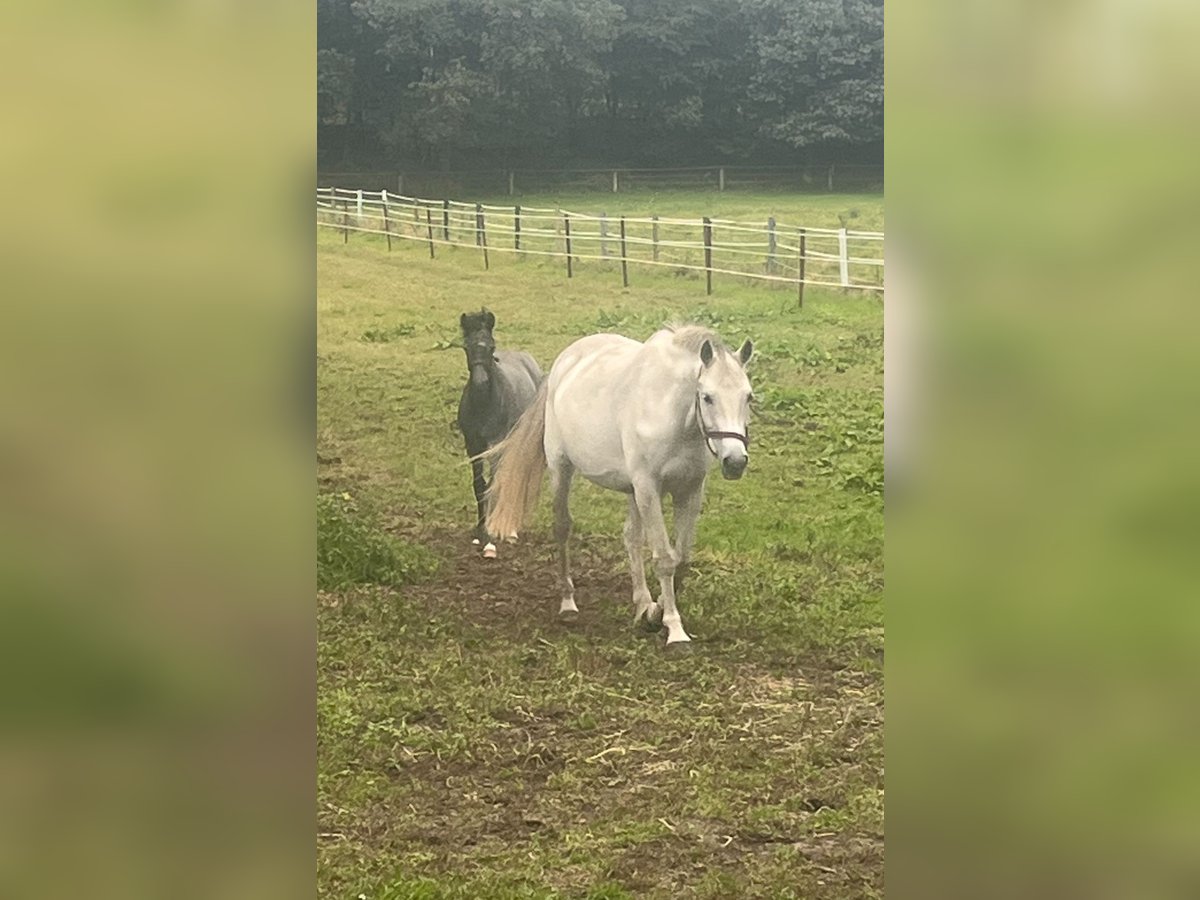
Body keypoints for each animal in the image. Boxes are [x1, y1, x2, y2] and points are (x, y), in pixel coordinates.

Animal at [456, 309, 542, 556]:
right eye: (466, 346)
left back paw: (511, 529)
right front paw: (479, 532)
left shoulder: (496, 444)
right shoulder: (473, 446)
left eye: (491, 346)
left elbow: (493, 486)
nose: (481, 382)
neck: (486, 404)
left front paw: (490, 541)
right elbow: (479, 486)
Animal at [484, 324, 748, 648]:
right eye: (708, 397)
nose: (735, 461)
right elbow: (664, 559)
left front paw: (655, 612)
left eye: (748, 397)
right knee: (562, 528)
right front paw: (674, 629)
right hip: (562, 468)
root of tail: (565, 362)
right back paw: (568, 603)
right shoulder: (648, 488)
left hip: (632, 491)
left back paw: (642, 604)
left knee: (631, 538)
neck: (670, 412)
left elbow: (681, 558)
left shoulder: (689, 490)